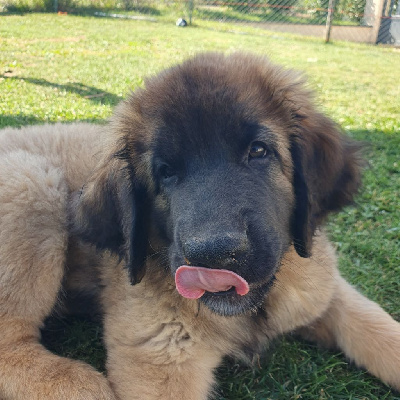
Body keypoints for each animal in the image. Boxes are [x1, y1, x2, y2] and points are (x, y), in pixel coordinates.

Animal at [0, 51, 400, 398]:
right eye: (165, 172)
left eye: (258, 151)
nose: (214, 255)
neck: (254, 310)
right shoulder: (158, 359)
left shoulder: (319, 285)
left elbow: (375, 324)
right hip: (30, 181)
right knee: (10, 342)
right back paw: (77, 383)